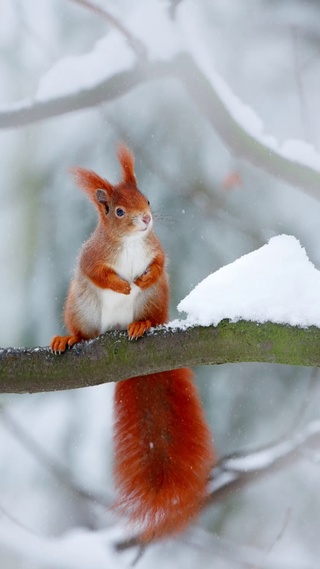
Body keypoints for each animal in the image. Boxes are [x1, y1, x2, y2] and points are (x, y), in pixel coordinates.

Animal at [50, 144, 215, 540]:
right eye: (119, 211)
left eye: (148, 198)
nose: (146, 220)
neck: (130, 243)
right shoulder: (92, 257)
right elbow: (98, 272)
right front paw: (122, 285)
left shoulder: (157, 250)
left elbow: (159, 264)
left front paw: (140, 278)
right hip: (82, 307)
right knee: (84, 333)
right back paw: (68, 338)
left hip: (155, 302)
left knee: (151, 315)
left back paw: (140, 325)